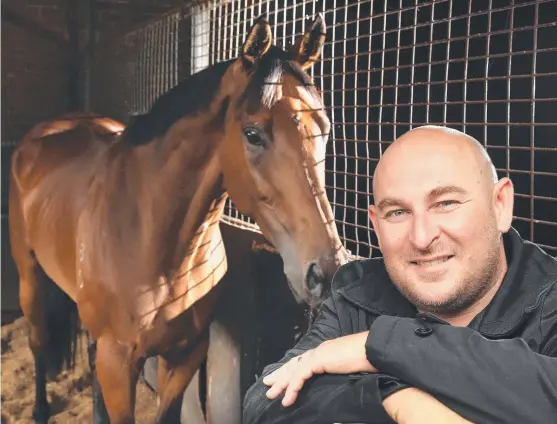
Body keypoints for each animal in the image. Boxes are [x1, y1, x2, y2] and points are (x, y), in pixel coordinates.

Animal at [8, 14, 348, 422]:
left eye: (324, 129)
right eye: (252, 134)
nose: (326, 272)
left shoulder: (186, 355)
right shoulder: (118, 365)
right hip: (30, 276)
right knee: (38, 340)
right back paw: (41, 409)